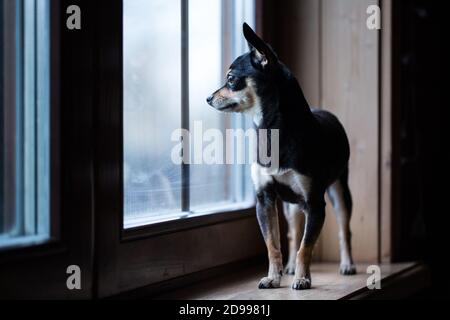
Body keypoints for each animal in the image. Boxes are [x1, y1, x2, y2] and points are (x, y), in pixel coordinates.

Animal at [207, 23, 356, 290]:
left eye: (231, 79)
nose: (208, 98)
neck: (270, 130)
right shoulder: (265, 199)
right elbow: (273, 244)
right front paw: (274, 277)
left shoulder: (315, 204)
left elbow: (307, 247)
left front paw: (303, 279)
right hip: (291, 206)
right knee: (294, 233)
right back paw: (290, 267)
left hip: (339, 193)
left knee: (343, 229)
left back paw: (346, 264)